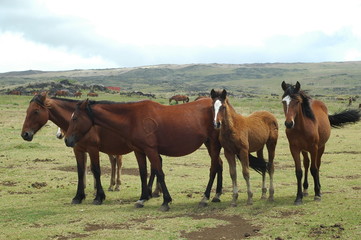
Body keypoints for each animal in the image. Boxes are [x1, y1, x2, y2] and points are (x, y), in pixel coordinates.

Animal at [63, 98, 224, 211]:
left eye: (75, 118)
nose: (67, 139)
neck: (132, 118)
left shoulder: (151, 150)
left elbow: (159, 173)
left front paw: (166, 201)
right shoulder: (139, 151)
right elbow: (143, 173)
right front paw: (142, 198)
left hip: (213, 144)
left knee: (214, 167)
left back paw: (205, 197)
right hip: (209, 144)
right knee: (219, 165)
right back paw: (216, 194)